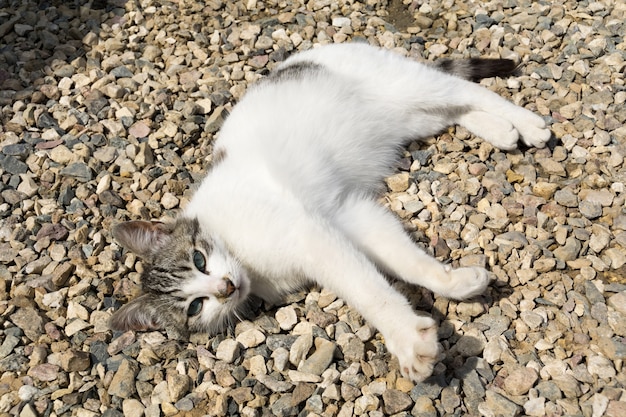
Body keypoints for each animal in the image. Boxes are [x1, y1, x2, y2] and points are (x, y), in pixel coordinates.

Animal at [109, 42, 548, 380]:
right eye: (196, 307)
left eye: (199, 259)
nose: (225, 288)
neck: (242, 257)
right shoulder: (345, 215)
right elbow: (404, 261)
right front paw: (457, 282)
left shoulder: (309, 235)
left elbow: (368, 291)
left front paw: (406, 338)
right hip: (414, 120)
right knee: (454, 109)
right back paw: (502, 131)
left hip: (406, 86)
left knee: (465, 89)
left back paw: (529, 123)